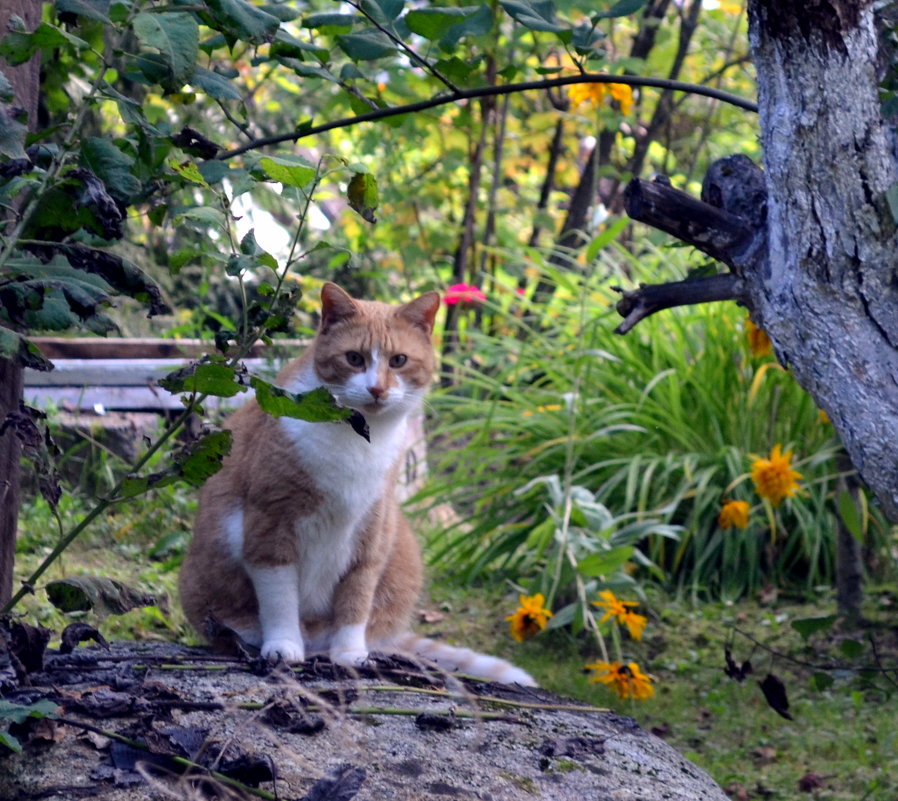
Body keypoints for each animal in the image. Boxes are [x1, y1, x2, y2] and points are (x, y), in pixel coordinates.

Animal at [178, 280, 536, 680]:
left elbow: (356, 598)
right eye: (354, 358)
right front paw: (283, 646)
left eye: (398, 361)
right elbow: (279, 598)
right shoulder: (270, 524)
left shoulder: (371, 529)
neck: (358, 440)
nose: (377, 389)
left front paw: (349, 653)